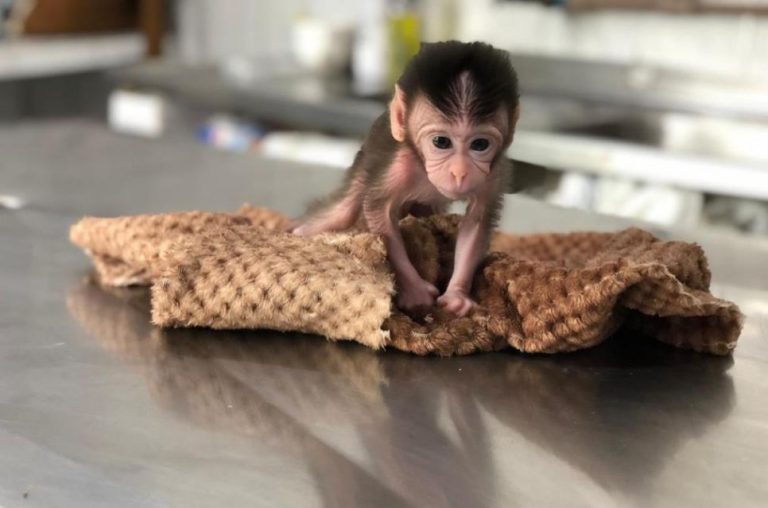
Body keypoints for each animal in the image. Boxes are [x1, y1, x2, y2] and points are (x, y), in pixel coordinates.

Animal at [291, 41, 520, 318]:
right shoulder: (399, 167)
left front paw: (457, 295)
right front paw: (414, 291)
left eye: (480, 144)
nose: (459, 172)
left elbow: (477, 221)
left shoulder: (493, 175)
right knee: (344, 211)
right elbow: (378, 213)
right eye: (441, 142)